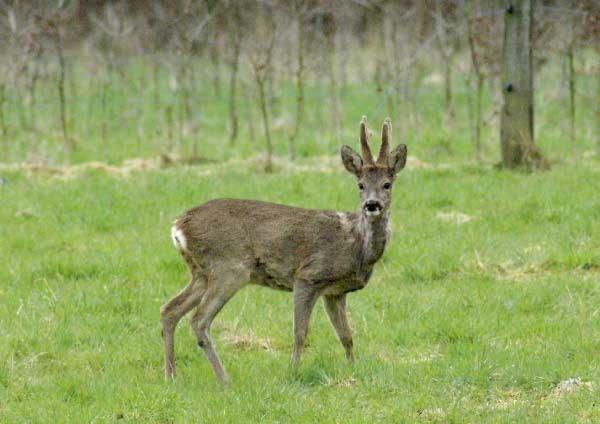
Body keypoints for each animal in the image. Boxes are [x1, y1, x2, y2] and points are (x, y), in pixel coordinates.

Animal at [159, 117, 408, 384]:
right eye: (360, 185)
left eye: (387, 184)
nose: (372, 204)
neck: (357, 245)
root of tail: (178, 225)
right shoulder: (309, 276)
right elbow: (300, 332)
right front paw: (293, 371)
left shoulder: (335, 292)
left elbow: (346, 336)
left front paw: (353, 369)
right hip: (228, 268)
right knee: (198, 320)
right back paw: (224, 379)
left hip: (200, 272)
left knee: (170, 310)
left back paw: (171, 375)